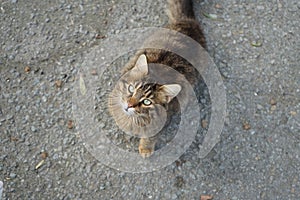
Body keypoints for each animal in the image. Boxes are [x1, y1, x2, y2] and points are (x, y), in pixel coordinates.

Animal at [108, 0, 206, 158]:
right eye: (131, 89)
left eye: (147, 102)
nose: (129, 104)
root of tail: (189, 22)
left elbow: (150, 137)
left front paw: (145, 148)